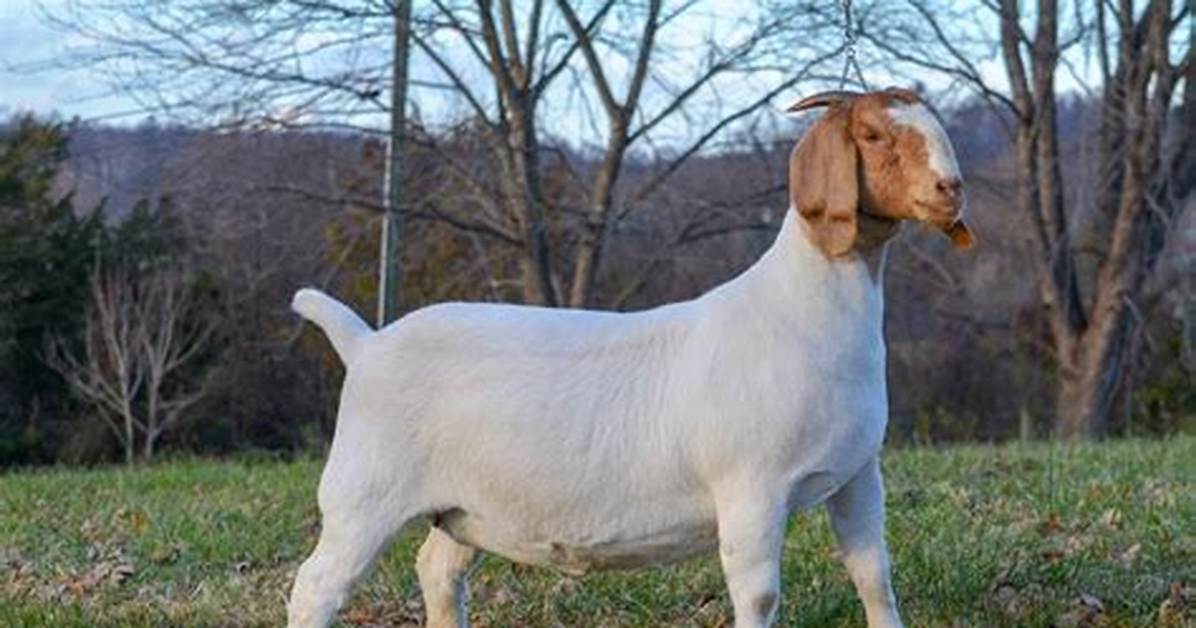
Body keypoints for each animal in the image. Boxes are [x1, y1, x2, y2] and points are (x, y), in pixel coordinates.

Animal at [286, 87, 973, 628]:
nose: (951, 188)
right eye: (873, 134)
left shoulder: (857, 475)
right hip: (362, 494)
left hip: (462, 506)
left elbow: (874, 578)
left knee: (436, 570)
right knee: (316, 586)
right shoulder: (751, 490)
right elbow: (759, 598)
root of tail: (365, 343)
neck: (801, 311)